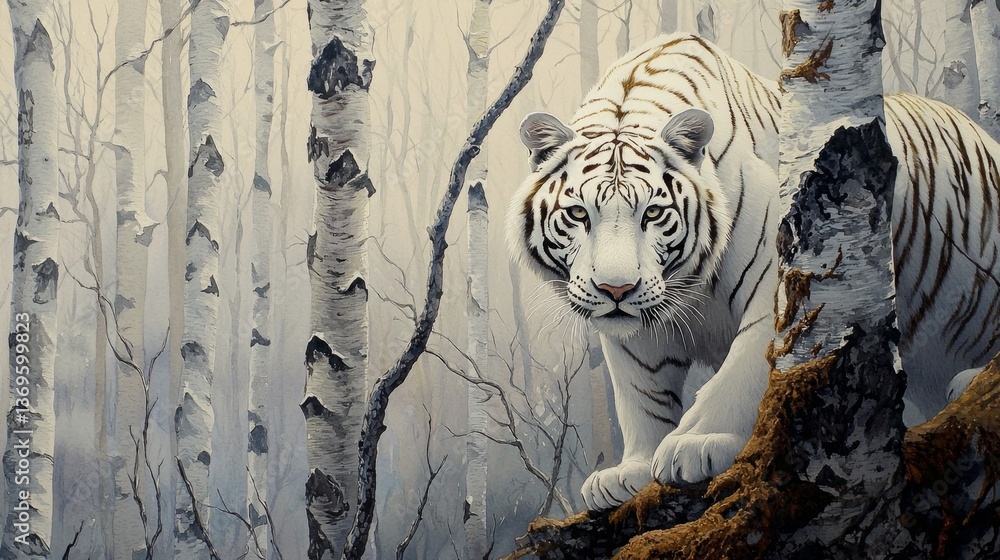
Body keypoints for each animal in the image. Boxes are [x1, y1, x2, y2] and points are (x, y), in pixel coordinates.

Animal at [507, 33, 1000, 511]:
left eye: (652, 213)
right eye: (578, 214)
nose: (616, 288)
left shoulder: (777, 281)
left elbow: (741, 370)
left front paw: (694, 444)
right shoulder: (635, 333)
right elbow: (640, 395)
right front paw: (631, 472)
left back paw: (971, 379)